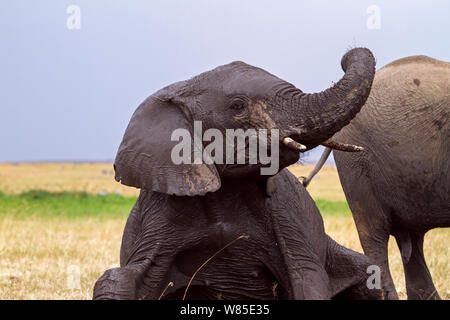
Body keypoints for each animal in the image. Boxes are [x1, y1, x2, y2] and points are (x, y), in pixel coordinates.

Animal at [93, 48, 382, 300]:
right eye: (237, 106)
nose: (345, 57)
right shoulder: (160, 213)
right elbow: (119, 279)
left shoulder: (284, 213)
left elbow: (306, 275)